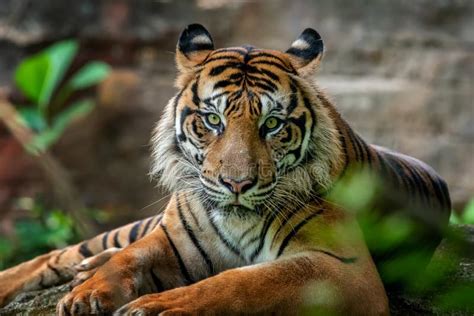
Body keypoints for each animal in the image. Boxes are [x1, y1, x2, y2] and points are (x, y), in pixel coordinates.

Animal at [0, 23, 452, 314]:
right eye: (213, 120)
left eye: (272, 124)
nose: (237, 184)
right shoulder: (171, 237)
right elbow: (130, 257)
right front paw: (88, 294)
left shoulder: (345, 269)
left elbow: (245, 281)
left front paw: (159, 305)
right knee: (61, 254)